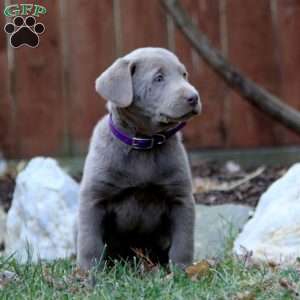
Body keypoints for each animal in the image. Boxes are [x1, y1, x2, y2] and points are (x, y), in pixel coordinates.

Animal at [77, 47, 202, 272]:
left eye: (184, 74)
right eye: (159, 78)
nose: (194, 97)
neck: (143, 143)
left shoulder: (181, 199)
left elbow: (183, 242)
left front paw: (183, 272)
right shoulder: (93, 198)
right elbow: (90, 242)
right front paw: (88, 274)